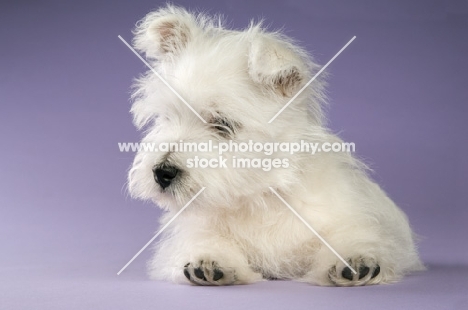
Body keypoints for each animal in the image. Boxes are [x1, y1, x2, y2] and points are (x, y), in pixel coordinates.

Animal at [128, 4, 424, 286]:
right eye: (167, 117)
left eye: (222, 124)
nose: (162, 173)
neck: (261, 196)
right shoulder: (195, 229)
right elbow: (204, 240)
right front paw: (209, 261)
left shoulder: (349, 217)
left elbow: (351, 236)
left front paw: (356, 260)